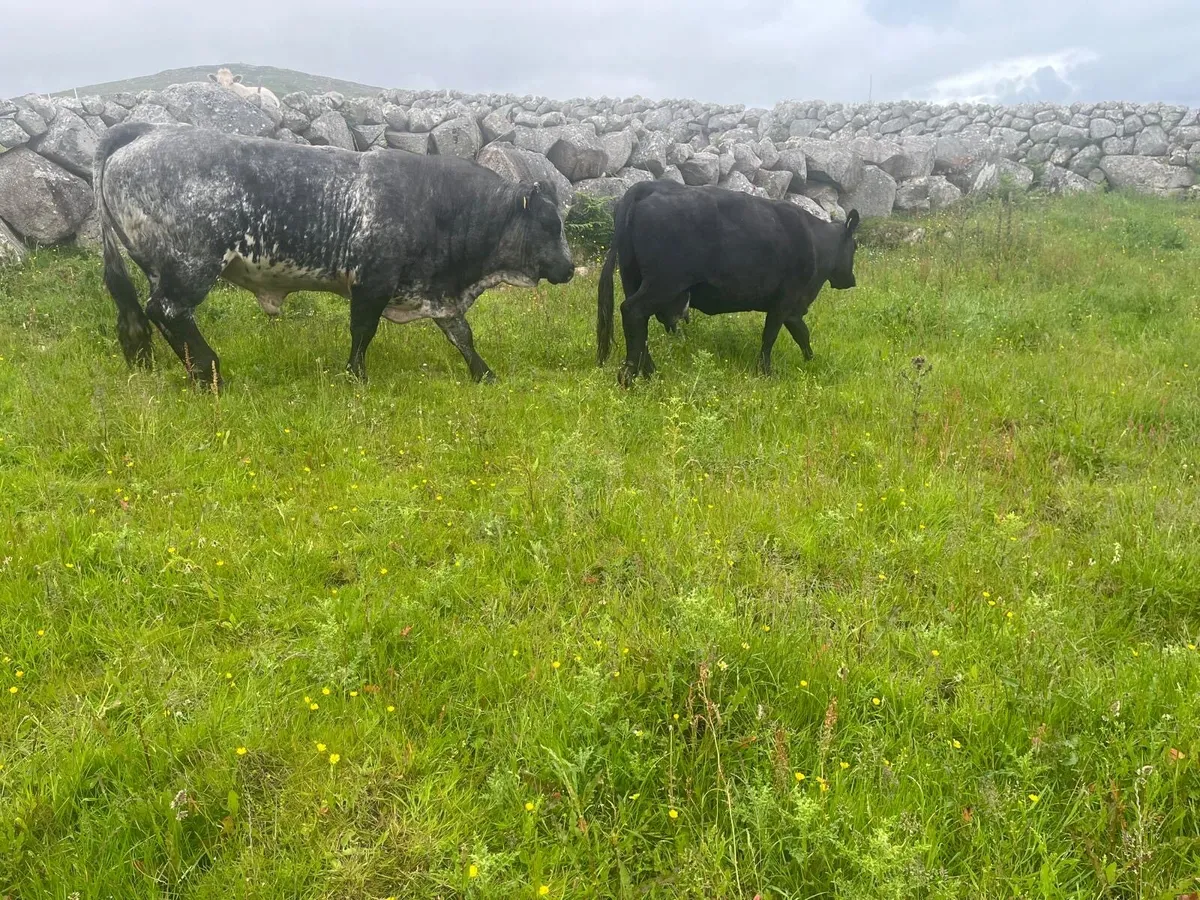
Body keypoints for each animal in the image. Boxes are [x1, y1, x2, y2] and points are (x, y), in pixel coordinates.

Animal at [93, 123, 574, 389]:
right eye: (550, 225)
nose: (569, 268)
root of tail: (147, 129)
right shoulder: (372, 282)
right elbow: (363, 332)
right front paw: (356, 377)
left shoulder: (434, 291)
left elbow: (462, 335)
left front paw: (485, 374)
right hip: (191, 266)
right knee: (168, 311)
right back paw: (211, 375)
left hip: (161, 268)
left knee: (155, 316)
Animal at [597, 179, 860, 385]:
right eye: (855, 246)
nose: (851, 281)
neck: (816, 241)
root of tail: (648, 186)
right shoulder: (786, 301)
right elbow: (771, 336)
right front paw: (766, 372)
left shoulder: (793, 308)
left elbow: (801, 334)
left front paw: (811, 361)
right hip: (663, 283)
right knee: (632, 311)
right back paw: (630, 377)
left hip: (633, 278)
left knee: (638, 323)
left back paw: (650, 373)